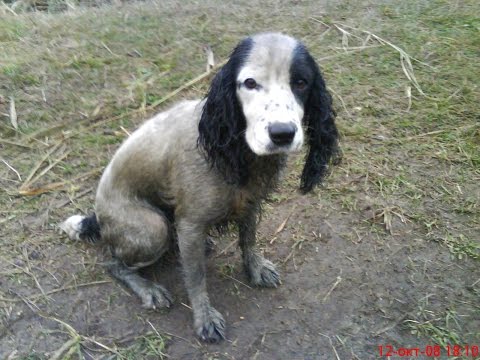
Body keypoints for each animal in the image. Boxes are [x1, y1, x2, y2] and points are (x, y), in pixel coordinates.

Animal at [61, 33, 342, 344]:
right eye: (250, 83)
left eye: (301, 82)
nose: (282, 134)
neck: (235, 150)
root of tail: (97, 218)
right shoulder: (191, 224)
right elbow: (196, 279)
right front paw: (204, 318)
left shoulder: (251, 203)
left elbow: (248, 240)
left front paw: (254, 268)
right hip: (152, 229)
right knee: (113, 263)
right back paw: (148, 289)